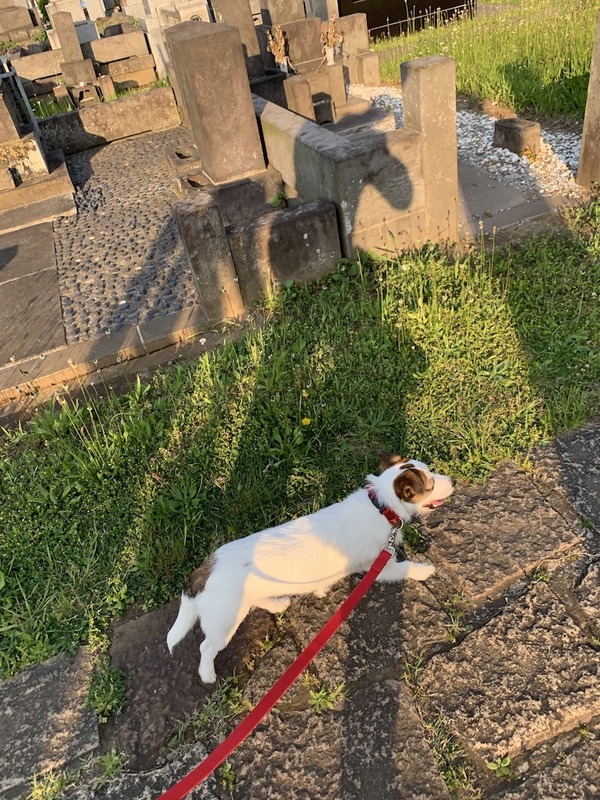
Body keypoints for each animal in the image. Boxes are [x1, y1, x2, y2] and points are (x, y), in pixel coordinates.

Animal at [167, 452, 454, 684]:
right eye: (430, 485)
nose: (452, 480)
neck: (382, 506)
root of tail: (204, 570)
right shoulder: (380, 565)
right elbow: (405, 568)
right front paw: (424, 570)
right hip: (224, 622)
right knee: (207, 648)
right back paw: (207, 674)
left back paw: (278, 604)